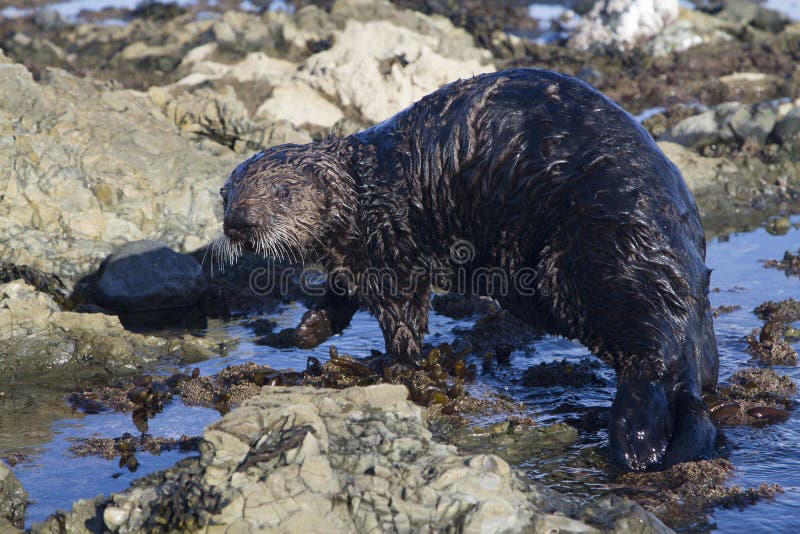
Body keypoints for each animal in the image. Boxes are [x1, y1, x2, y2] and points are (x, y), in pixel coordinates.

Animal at [214, 68, 720, 474]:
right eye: (226, 194)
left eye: (281, 192)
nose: (238, 222)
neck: (364, 193)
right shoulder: (352, 260)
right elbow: (339, 296)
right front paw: (304, 331)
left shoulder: (390, 253)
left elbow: (403, 318)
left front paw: (383, 365)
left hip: (592, 261)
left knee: (649, 355)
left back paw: (636, 441)